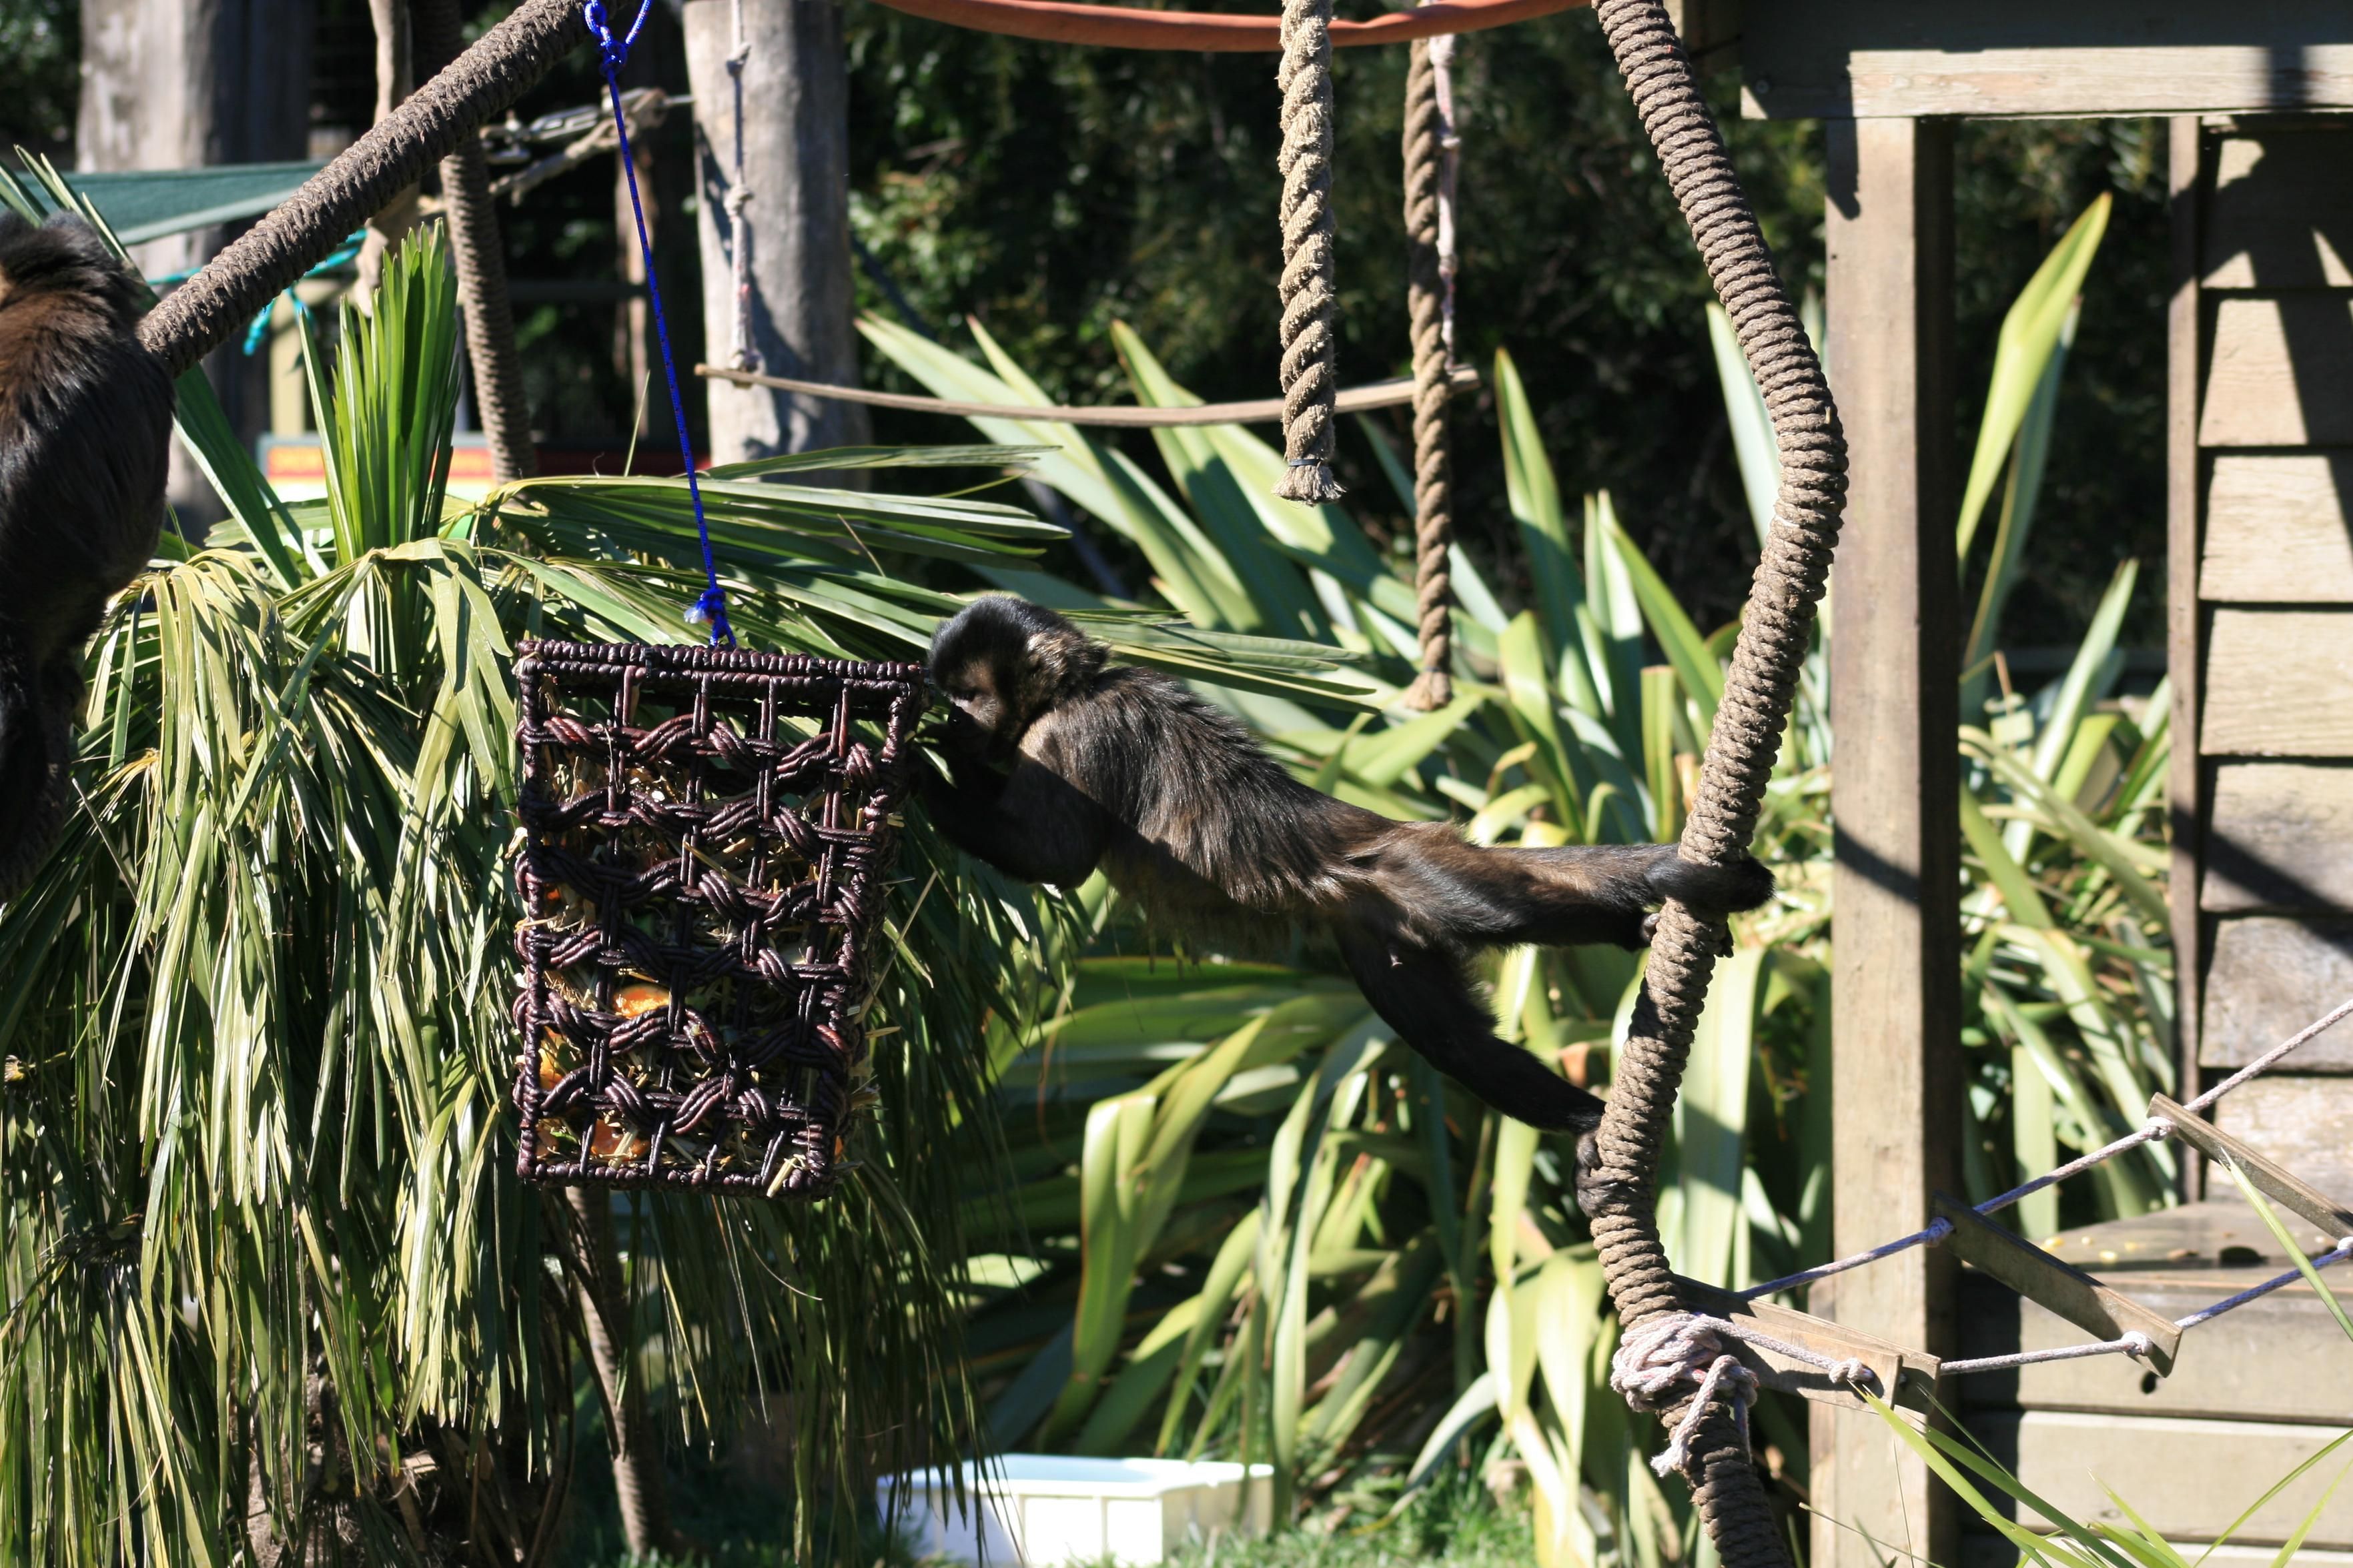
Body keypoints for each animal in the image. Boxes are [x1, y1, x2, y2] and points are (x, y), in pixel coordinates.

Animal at [922, 596, 1774, 1133]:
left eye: (969, 695)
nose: (953, 719)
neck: (1075, 688)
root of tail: (1378, 825)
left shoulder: (1071, 733)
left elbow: (1054, 858)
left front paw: (917, 770)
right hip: (1380, 933)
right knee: (1457, 1045)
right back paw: (1588, 1116)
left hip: (1406, 869)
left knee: (1494, 909)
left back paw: (1650, 907)